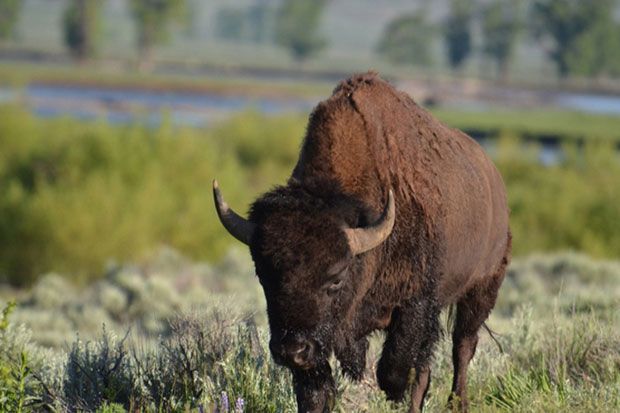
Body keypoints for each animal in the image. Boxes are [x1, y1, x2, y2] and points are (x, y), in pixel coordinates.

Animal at [212, 72, 508, 410]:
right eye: (263, 276)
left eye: (336, 279)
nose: (292, 350)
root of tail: (494, 179)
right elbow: (315, 391)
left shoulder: (416, 304)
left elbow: (394, 372)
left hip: (482, 288)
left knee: (462, 346)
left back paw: (456, 403)